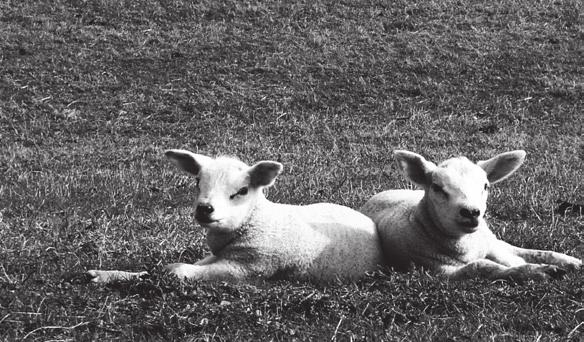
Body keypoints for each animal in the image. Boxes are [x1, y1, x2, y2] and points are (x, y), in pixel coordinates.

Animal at [88, 150, 384, 284]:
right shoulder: (218, 255)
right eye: (197, 181)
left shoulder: (250, 267)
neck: (256, 219)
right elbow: (153, 270)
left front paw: (172, 271)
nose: (205, 209)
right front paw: (109, 274)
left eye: (242, 191)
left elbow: (179, 270)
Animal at [362, 150, 580, 280]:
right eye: (437, 187)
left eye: (485, 186)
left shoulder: (491, 245)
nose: (471, 212)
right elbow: (482, 266)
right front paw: (537, 270)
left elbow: (522, 256)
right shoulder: (439, 270)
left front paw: (560, 264)